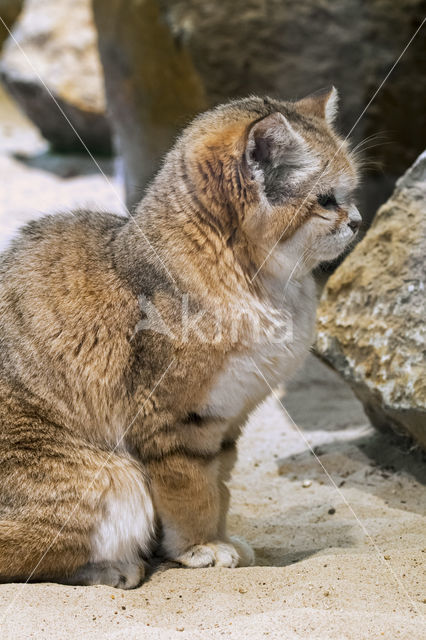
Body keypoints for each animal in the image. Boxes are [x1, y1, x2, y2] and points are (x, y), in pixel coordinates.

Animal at [0, 87, 360, 588]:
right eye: (327, 200)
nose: (359, 221)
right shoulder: (174, 421)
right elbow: (192, 491)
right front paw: (200, 546)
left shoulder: (230, 418)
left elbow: (219, 488)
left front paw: (219, 538)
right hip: (114, 477)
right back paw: (114, 568)